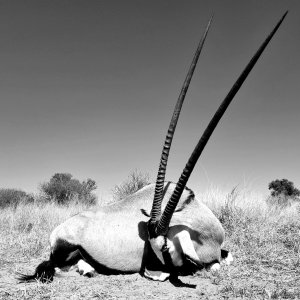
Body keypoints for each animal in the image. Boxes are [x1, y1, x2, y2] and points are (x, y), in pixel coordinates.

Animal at [18, 11, 288, 284]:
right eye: (155, 248)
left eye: (166, 247)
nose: (150, 271)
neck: (195, 215)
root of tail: (59, 230)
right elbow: (214, 265)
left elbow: (227, 257)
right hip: (65, 250)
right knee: (58, 267)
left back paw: (89, 269)